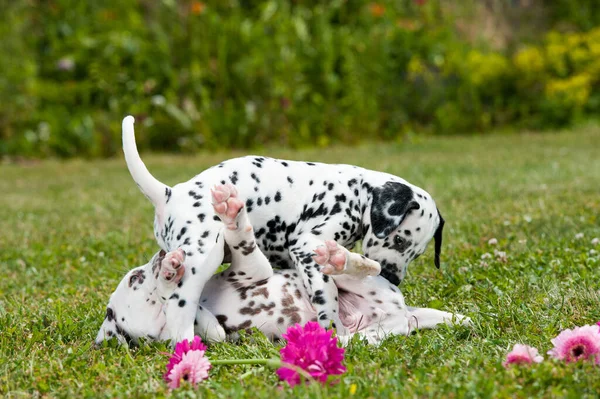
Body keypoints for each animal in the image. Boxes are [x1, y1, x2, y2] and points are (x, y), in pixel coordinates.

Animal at [95, 186, 468, 346]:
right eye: (135, 278)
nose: (162, 257)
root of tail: (403, 312)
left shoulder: (250, 270)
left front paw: (230, 214)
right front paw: (170, 278)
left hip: (358, 285)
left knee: (360, 270)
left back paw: (339, 258)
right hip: (368, 334)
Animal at [120, 117, 446, 346]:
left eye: (417, 254)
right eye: (399, 239)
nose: (392, 278)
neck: (358, 192)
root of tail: (169, 193)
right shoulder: (307, 246)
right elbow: (326, 295)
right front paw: (332, 327)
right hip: (199, 258)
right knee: (180, 305)